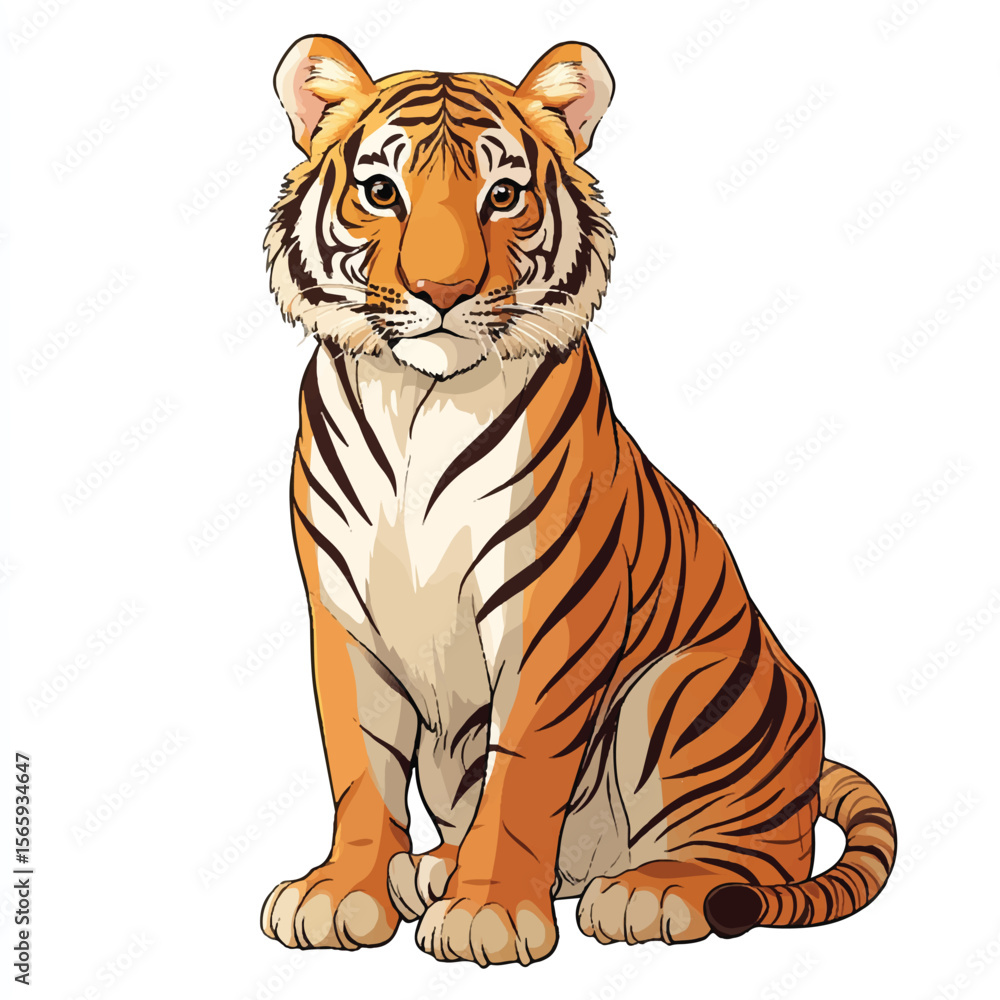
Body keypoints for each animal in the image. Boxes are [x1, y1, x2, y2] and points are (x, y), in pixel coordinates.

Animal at [258, 35, 896, 966]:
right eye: (382, 192)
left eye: (502, 196)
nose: (442, 293)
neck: (421, 402)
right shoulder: (345, 616)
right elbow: (360, 764)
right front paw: (346, 894)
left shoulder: (549, 615)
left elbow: (522, 772)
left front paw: (486, 914)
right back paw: (434, 868)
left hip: (680, 686)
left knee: (755, 861)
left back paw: (647, 893)